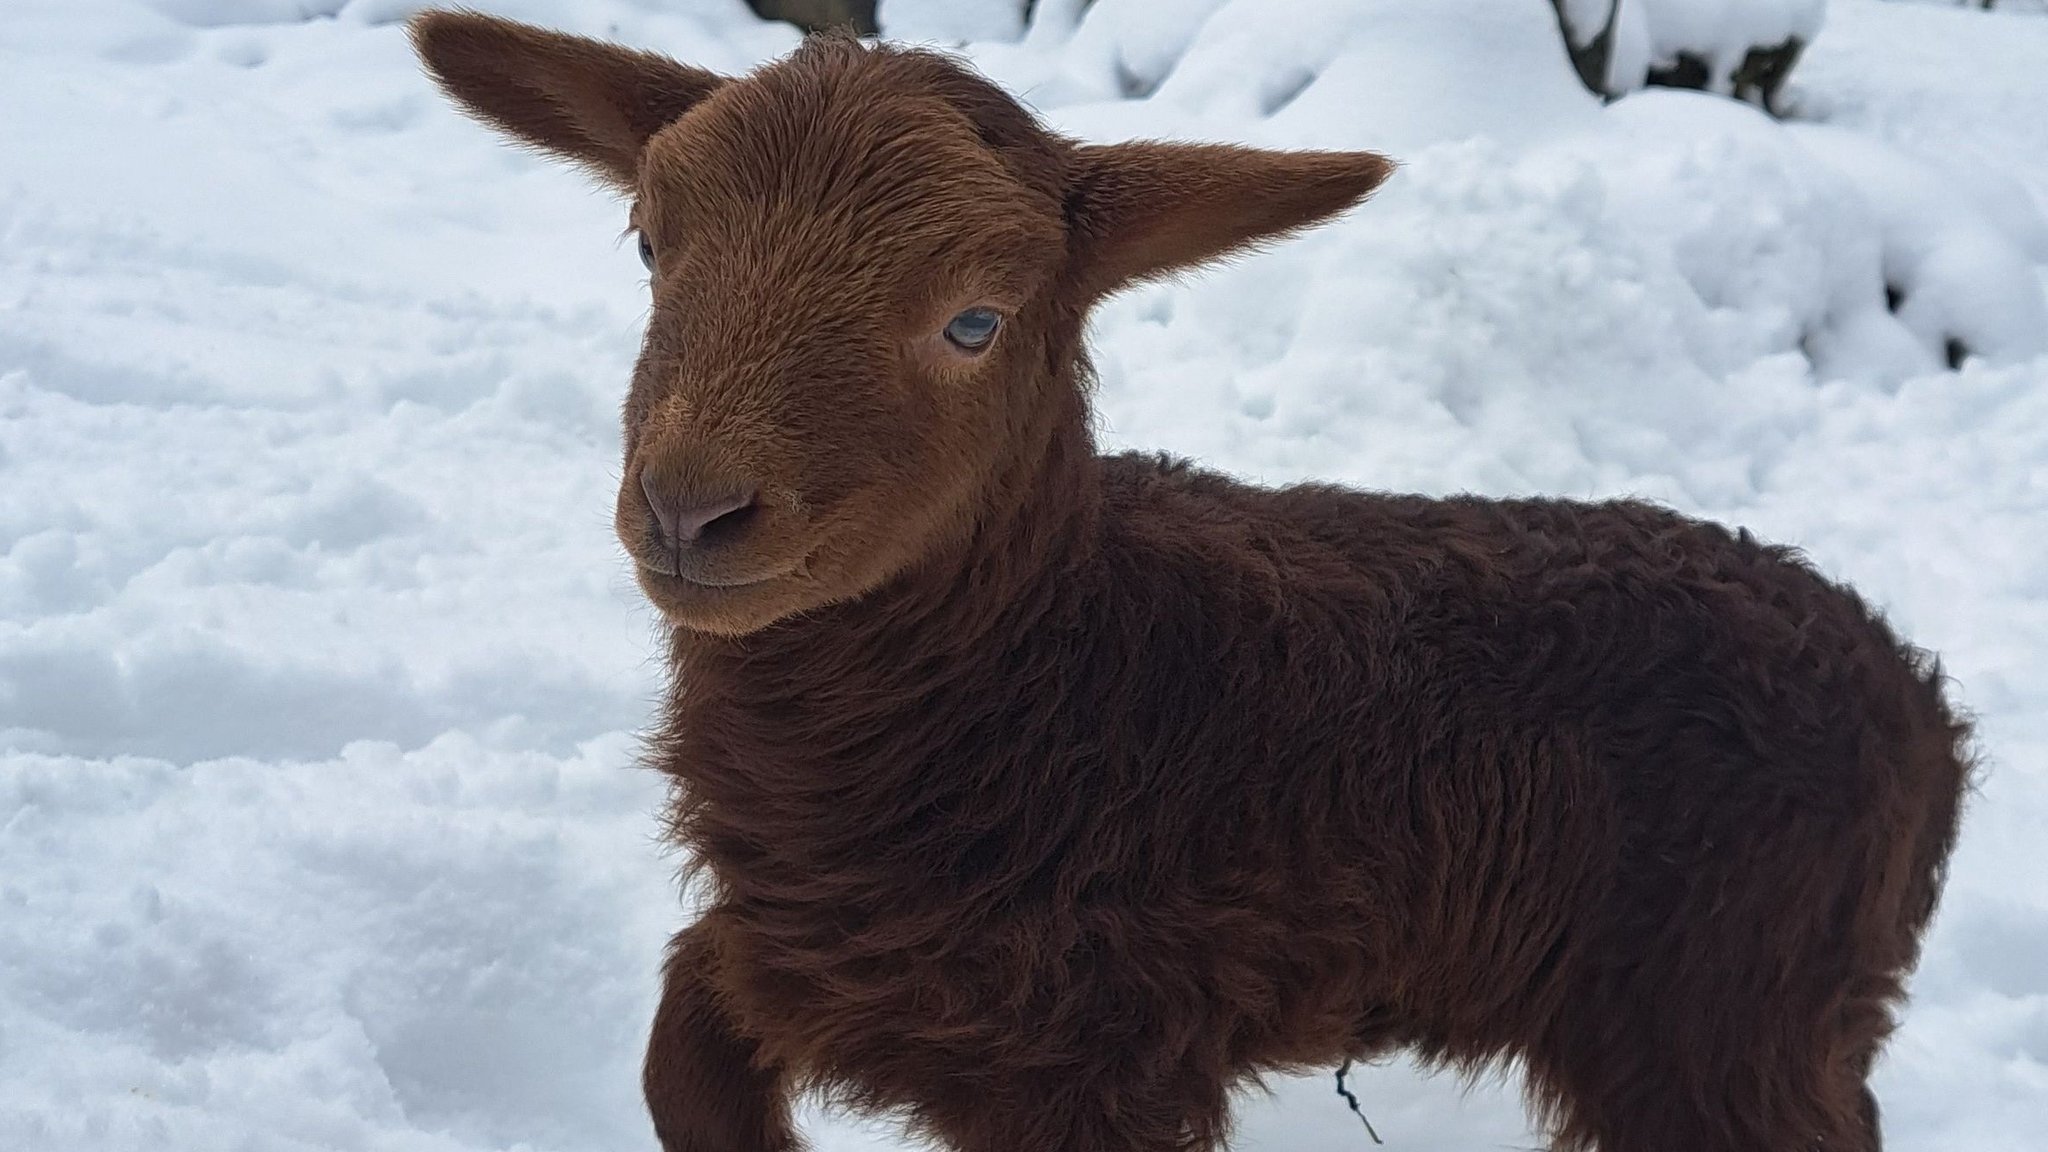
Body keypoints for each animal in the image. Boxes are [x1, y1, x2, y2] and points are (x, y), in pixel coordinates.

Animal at [411, 15, 1966, 1147]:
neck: (1062, 681)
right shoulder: (801, 954)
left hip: (1733, 1016)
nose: (690, 508)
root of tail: (1917, 699)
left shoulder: (1099, 1049)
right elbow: (682, 1056)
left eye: (975, 321)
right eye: (647, 244)